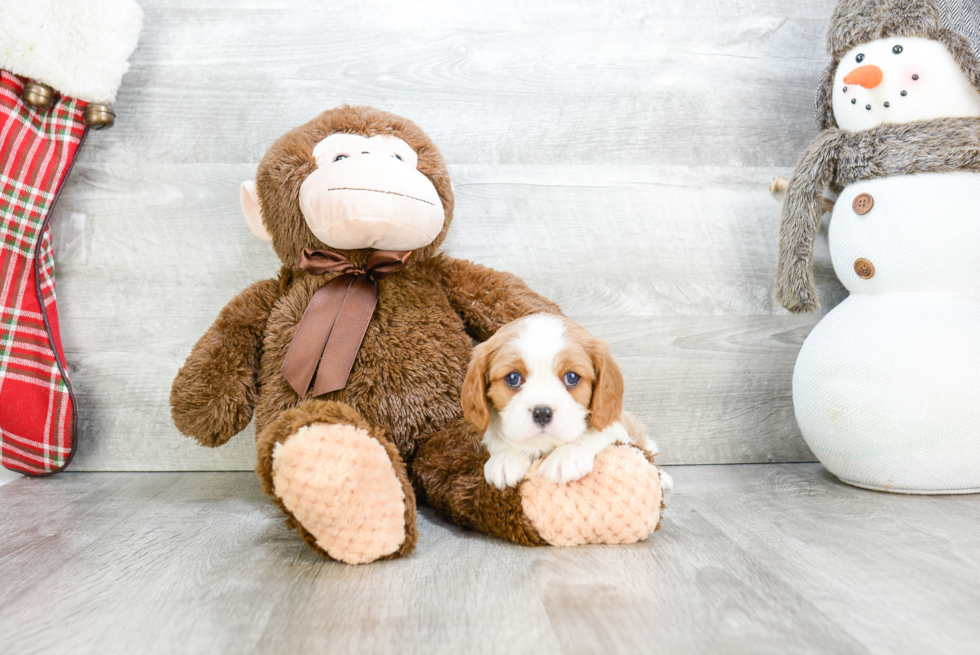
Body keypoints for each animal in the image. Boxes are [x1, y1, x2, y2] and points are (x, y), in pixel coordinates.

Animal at [460, 316, 660, 490]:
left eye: (571, 377)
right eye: (513, 378)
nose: (542, 413)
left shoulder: (618, 427)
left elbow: (596, 433)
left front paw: (566, 456)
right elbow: (496, 437)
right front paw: (506, 458)